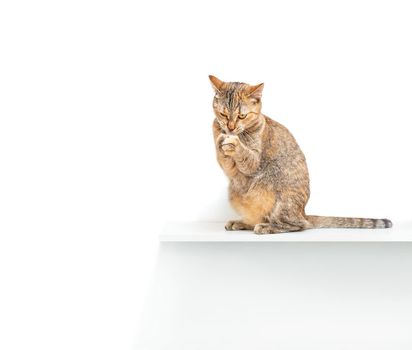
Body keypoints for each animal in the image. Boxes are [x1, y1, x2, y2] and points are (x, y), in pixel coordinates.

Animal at [209, 76, 392, 235]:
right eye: (223, 114)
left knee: (297, 224)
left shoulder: (254, 162)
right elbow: (223, 156)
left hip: (283, 198)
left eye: (242, 116)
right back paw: (242, 222)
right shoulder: (229, 168)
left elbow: (245, 155)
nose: (231, 127)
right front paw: (221, 140)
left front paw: (234, 143)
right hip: (234, 193)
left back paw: (268, 227)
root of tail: (303, 212)